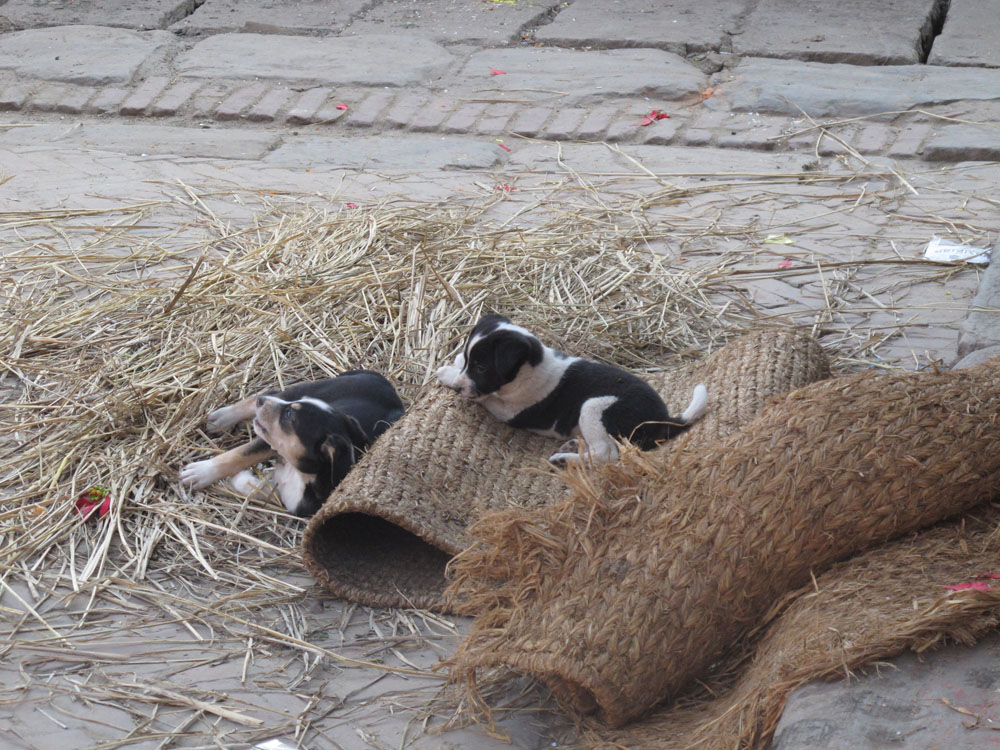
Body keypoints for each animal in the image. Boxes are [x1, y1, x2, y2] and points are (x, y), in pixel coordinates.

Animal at [180, 372, 402, 524]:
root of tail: (383, 381)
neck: (299, 472)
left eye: (289, 415)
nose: (262, 403)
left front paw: (240, 479)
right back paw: (221, 418)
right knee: (268, 394)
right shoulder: (268, 442)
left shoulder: (297, 501)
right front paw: (200, 472)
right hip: (309, 389)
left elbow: (260, 489)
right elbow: (238, 454)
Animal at [434, 316, 708, 464]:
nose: (458, 388)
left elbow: (484, 396)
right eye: (473, 362)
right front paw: (456, 363)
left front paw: (448, 374)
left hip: (593, 407)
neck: (529, 366)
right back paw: (572, 446)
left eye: (482, 368)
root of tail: (662, 419)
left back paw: (565, 460)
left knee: (606, 454)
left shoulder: (510, 409)